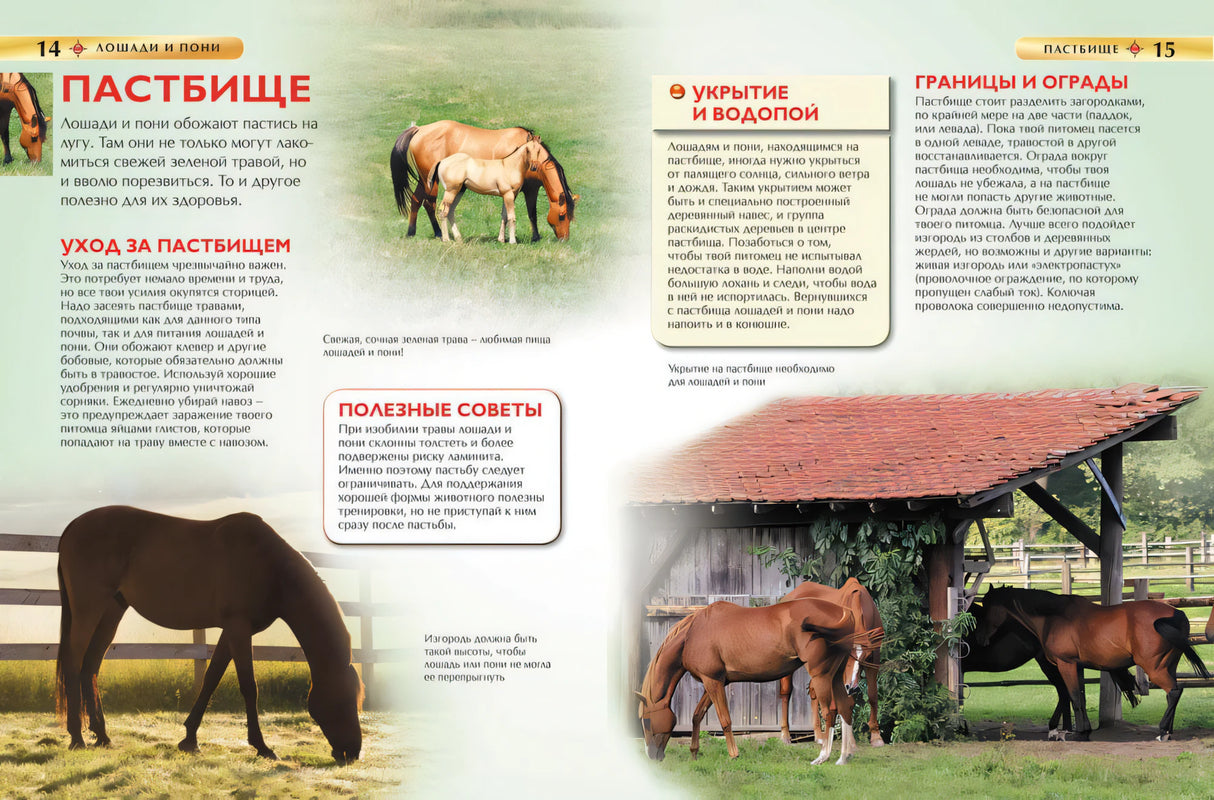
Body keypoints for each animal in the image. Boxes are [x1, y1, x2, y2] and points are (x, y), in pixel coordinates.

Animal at [55, 506, 363, 762]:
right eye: (344, 700)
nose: (353, 752)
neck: (269, 566)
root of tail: (72, 526)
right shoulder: (239, 629)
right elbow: (249, 687)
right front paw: (262, 746)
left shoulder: (231, 631)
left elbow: (211, 679)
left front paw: (190, 739)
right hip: (88, 609)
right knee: (73, 663)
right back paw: (77, 737)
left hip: (112, 611)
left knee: (90, 667)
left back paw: (101, 735)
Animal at [390, 120, 576, 241]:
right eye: (561, 216)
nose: (564, 239)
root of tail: (419, 129)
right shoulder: (529, 189)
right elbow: (531, 213)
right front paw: (534, 238)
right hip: (432, 183)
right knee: (431, 204)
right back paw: (439, 234)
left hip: (425, 180)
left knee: (416, 200)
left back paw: (412, 232)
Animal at [638, 597, 881, 765]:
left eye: (647, 721)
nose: (652, 755)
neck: (693, 633)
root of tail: (844, 612)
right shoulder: (715, 682)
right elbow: (697, 716)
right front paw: (694, 753)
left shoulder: (712, 682)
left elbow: (725, 720)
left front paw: (733, 755)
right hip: (836, 677)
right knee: (845, 707)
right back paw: (843, 758)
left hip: (821, 676)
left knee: (829, 711)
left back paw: (822, 757)